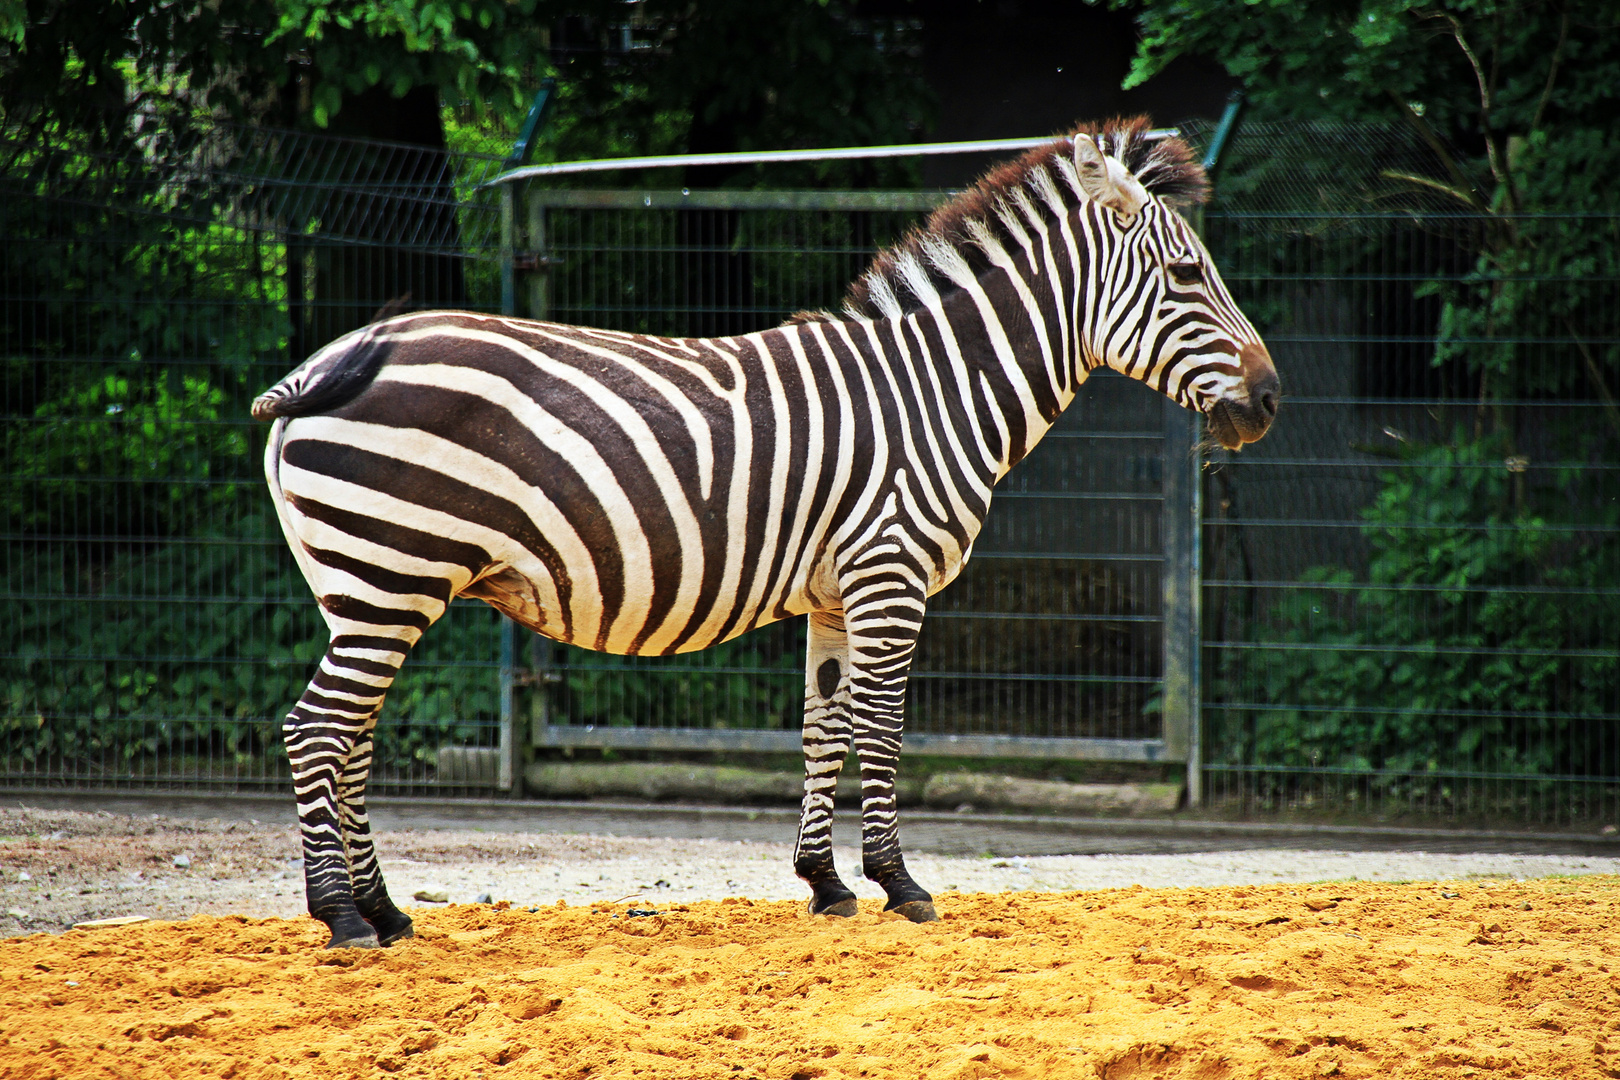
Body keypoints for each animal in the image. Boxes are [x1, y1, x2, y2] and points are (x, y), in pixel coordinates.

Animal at [252, 114, 1276, 952]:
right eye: (1188, 274)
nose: (1269, 402)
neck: (935, 391)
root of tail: (339, 355)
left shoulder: (836, 591)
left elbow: (824, 726)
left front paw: (826, 885)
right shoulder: (890, 574)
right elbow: (881, 725)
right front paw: (900, 883)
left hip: (370, 587)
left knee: (352, 735)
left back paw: (386, 912)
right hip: (388, 575)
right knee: (316, 730)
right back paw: (340, 916)